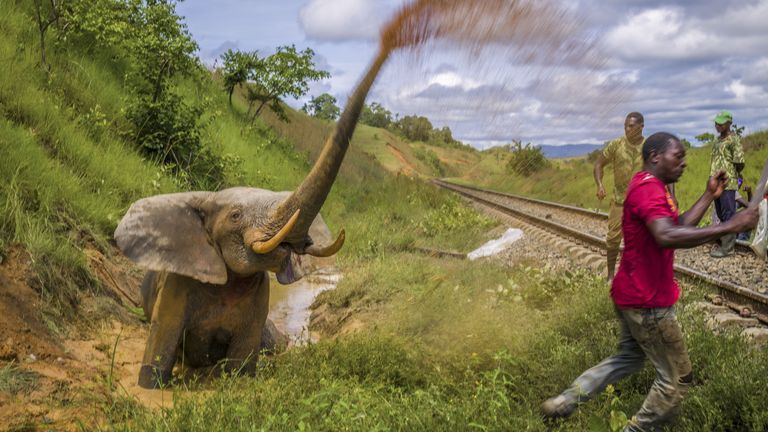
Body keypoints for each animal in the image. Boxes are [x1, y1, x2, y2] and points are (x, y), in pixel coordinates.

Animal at [117, 43, 392, 388]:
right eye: (235, 215)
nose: (390, 41)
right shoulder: (177, 284)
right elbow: (160, 347)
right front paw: (151, 387)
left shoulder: (260, 295)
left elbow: (242, 365)